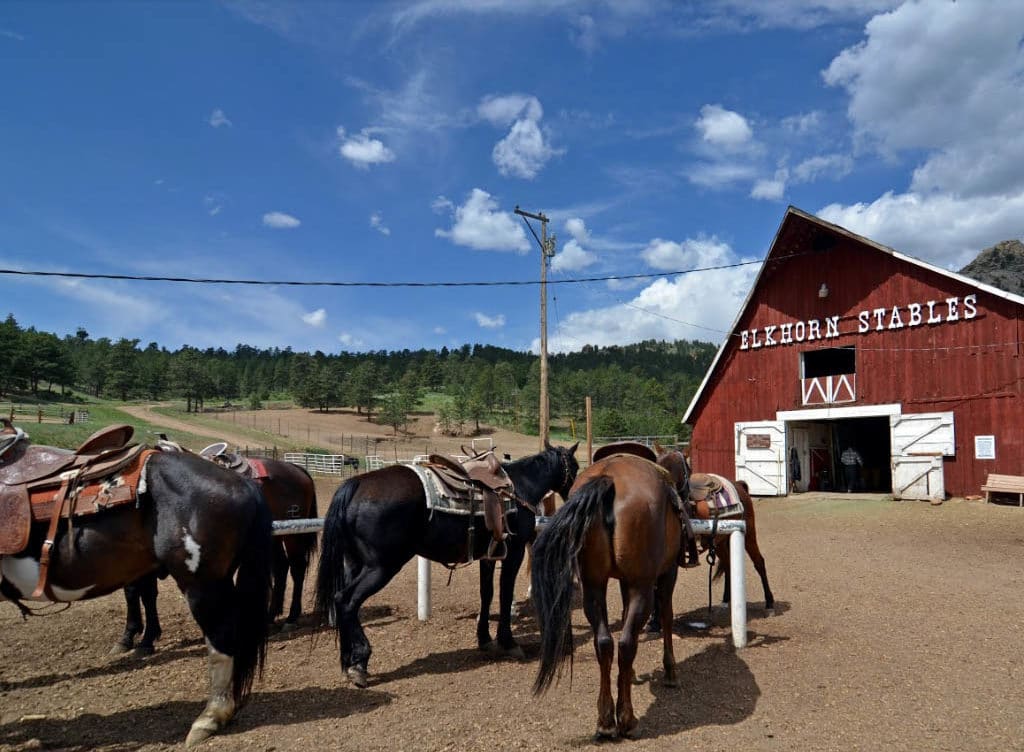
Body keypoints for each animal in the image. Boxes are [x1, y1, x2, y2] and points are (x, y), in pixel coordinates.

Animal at [112, 456, 319, 655]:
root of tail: (296, 468)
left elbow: (145, 595)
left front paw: (144, 639)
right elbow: (133, 592)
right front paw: (129, 636)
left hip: (292, 534)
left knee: (297, 568)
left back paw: (291, 618)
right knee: (281, 567)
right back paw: (270, 616)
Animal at [528, 452, 688, 741]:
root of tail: (609, 480)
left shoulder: (622, 582)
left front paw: (632, 674)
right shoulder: (666, 573)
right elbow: (667, 617)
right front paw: (670, 671)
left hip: (594, 585)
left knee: (604, 643)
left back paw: (605, 720)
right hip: (641, 586)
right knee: (625, 644)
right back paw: (626, 719)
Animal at [655, 444, 774, 614]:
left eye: (678, 469)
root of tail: (739, 485)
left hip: (749, 534)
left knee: (759, 562)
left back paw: (769, 602)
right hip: (720, 542)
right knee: (728, 564)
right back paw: (726, 600)